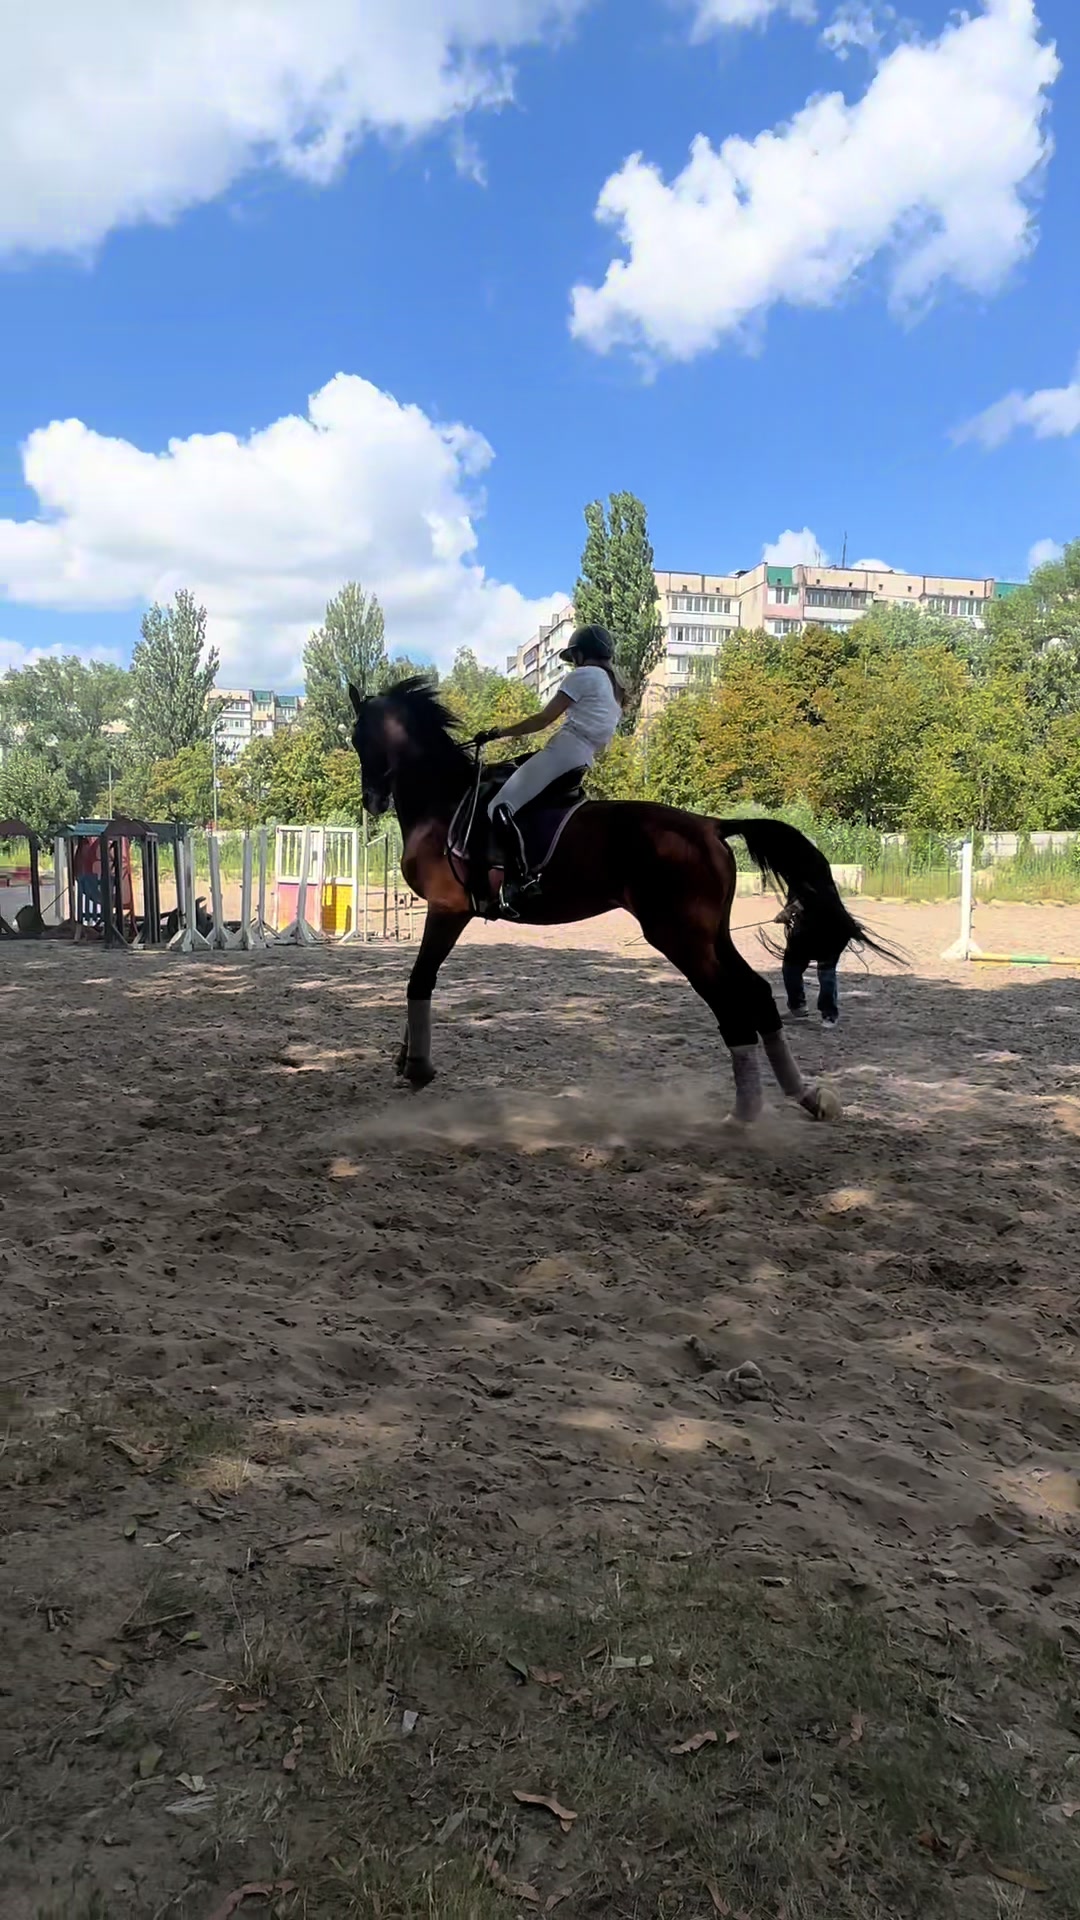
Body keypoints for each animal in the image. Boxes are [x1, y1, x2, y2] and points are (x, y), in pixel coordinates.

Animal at [349, 677, 891, 1123]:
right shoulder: (448, 912)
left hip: (679, 938)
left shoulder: (448, 909)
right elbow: (421, 979)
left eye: (358, 738)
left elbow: (420, 980)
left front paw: (418, 1066)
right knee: (756, 994)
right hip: (710, 935)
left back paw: (744, 1116)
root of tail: (710, 825)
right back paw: (805, 1096)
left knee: (733, 1009)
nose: (372, 800)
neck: (443, 804)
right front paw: (406, 1058)